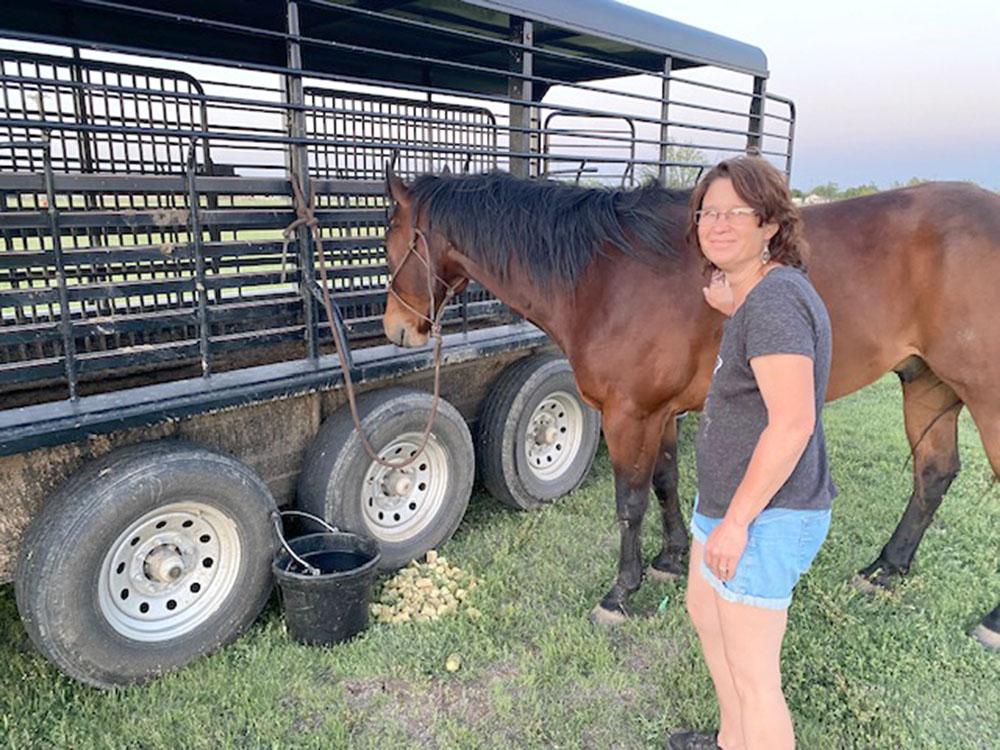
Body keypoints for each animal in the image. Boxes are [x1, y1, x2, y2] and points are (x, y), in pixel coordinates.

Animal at [380, 169, 1000, 648]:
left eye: (388, 240)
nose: (396, 330)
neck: (606, 275)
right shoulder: (660, 411)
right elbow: (665, 482)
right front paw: (671, 558)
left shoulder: (630, 413)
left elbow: (629, 502)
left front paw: (620, 592)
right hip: (927, 383)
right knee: (934, 475)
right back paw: (886, 568)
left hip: (984, 395)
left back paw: (988, 621)